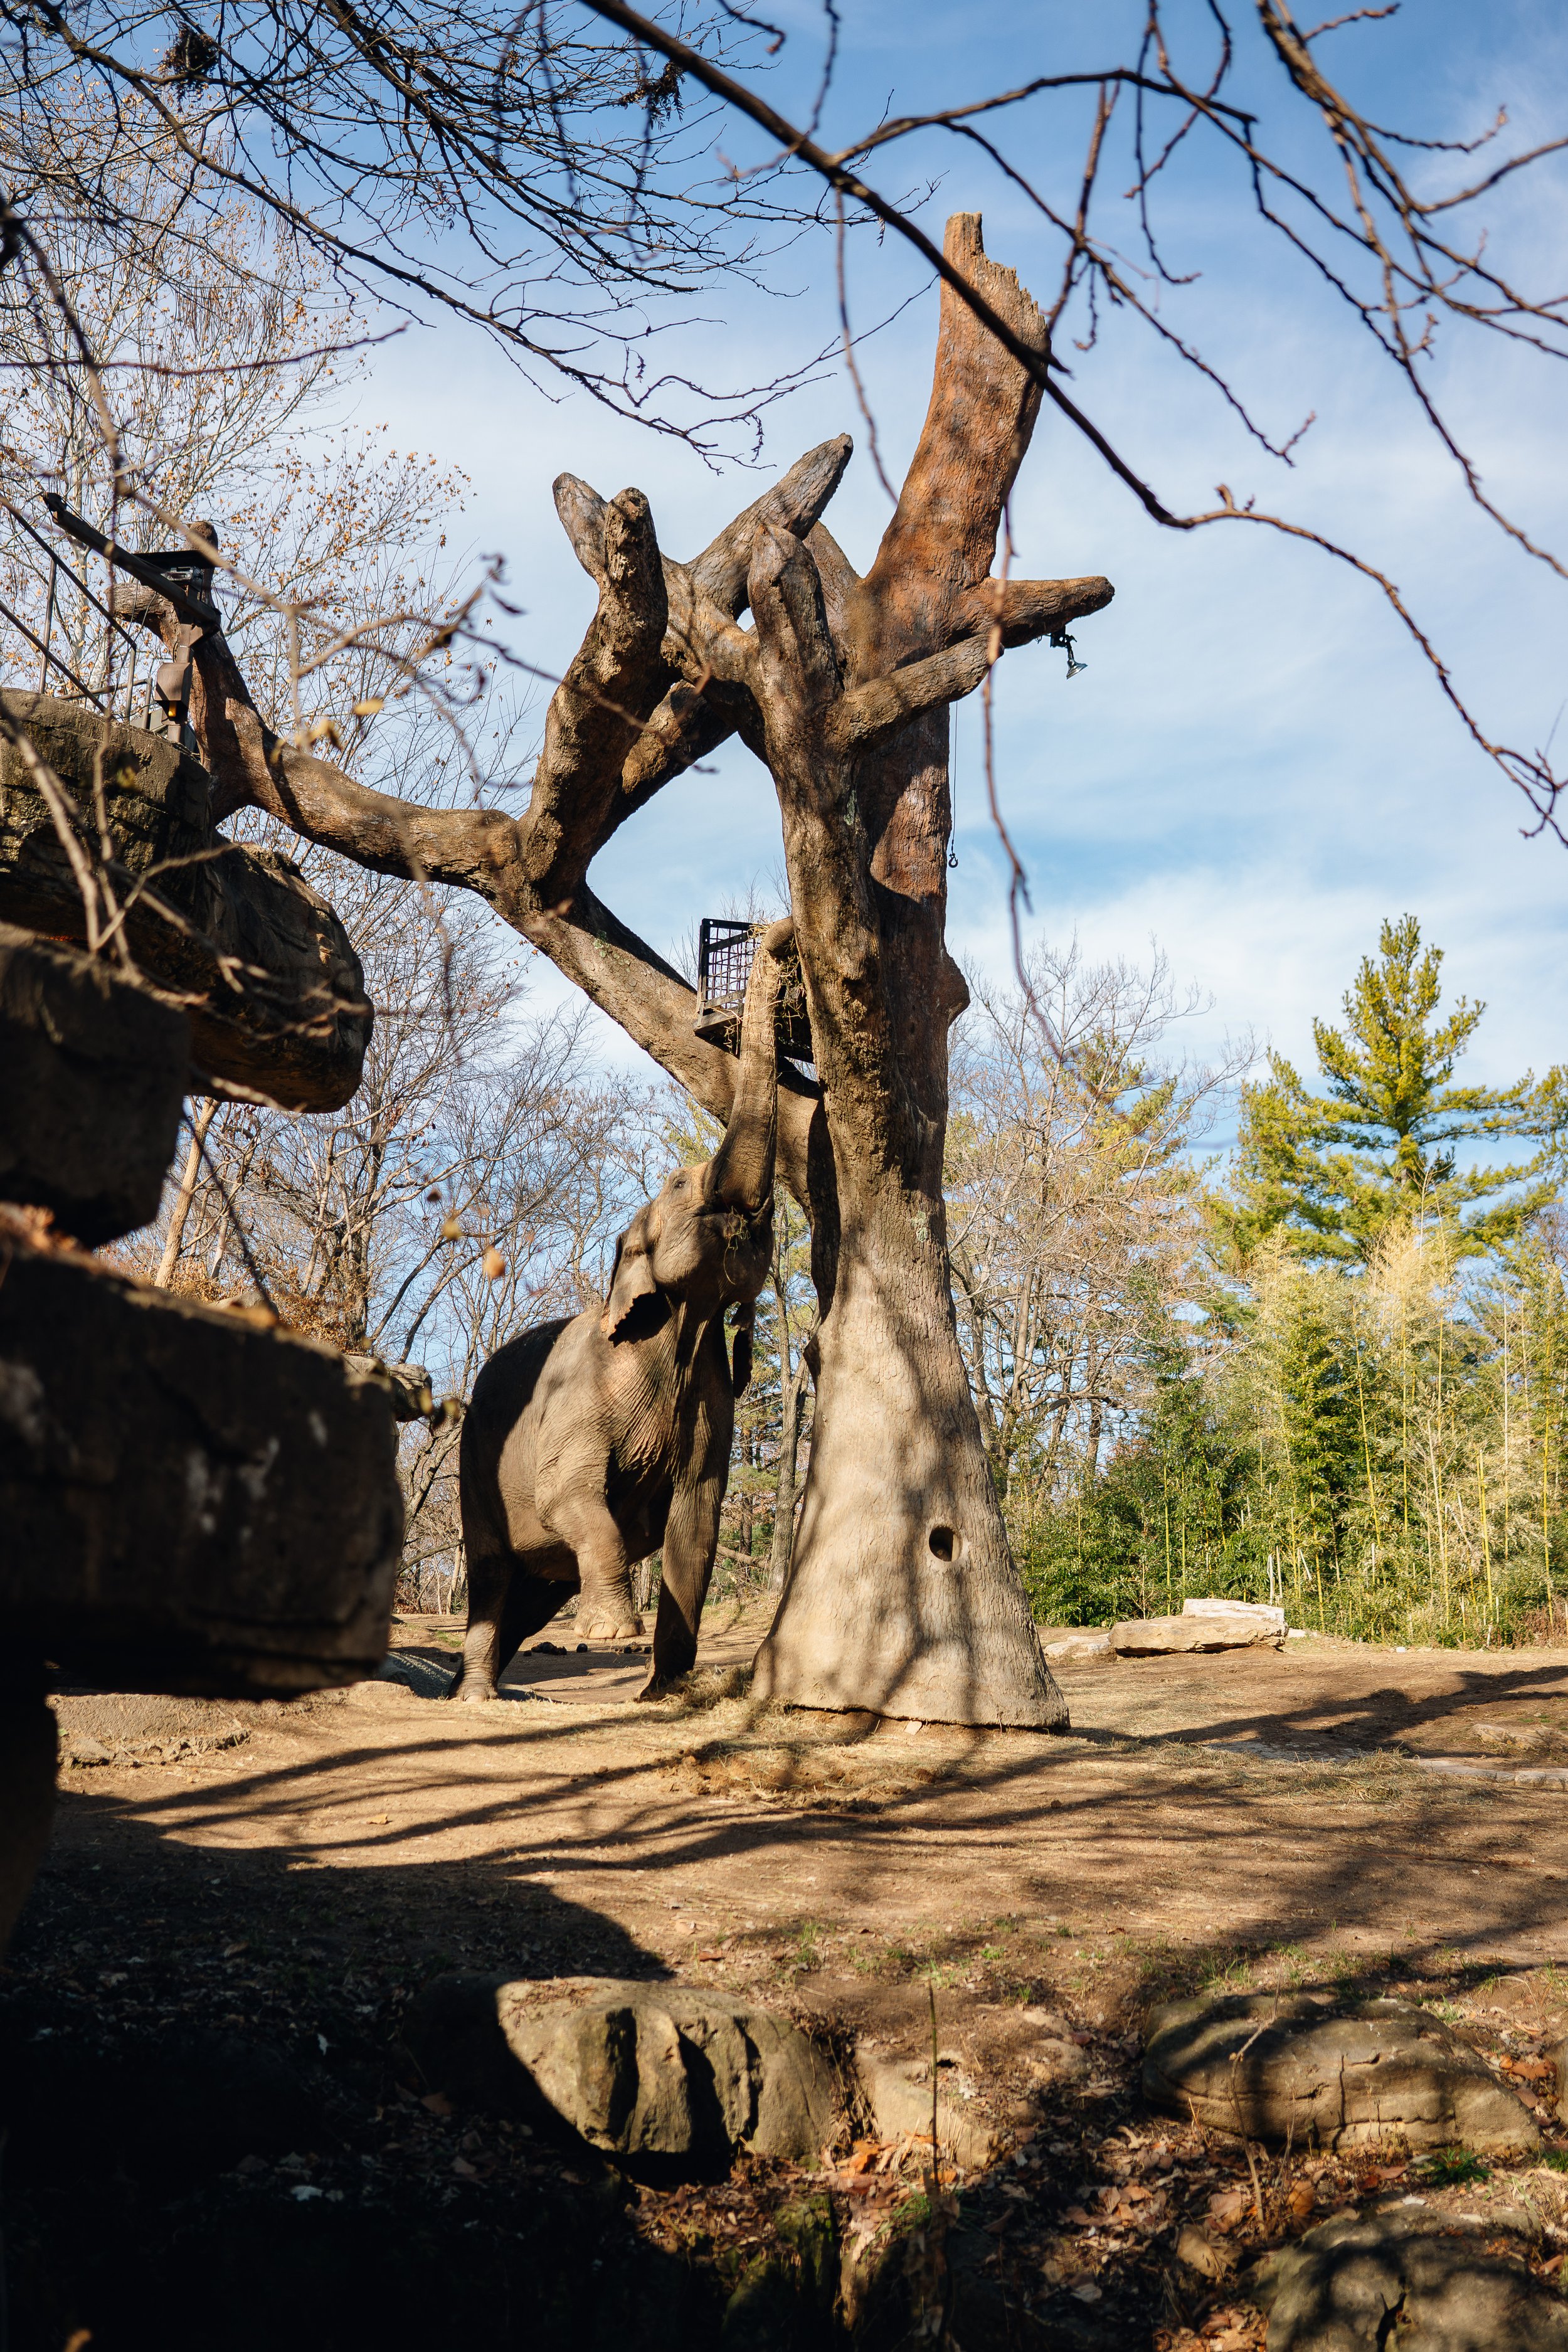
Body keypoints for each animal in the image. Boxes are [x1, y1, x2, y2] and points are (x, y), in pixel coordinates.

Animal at [448, 920, 792, 1703]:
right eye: (677, 1183)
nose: (779, 938)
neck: (682, 1328)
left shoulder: (711, 1406)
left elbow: (695, 1525)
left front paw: (665, 1693)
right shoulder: (578, 1400)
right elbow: (569, 1494)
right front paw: (612, 1638)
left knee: (533, 1592)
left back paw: (476, 1687)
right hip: (475, 1467)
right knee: (492, 1577)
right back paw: (476, 1698)